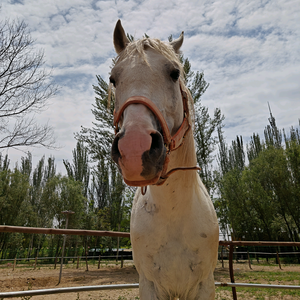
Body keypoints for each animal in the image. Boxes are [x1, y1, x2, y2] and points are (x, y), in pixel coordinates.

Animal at [110, 19, 218, 298]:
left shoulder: (204, 284)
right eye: (113, 78)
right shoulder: (150, 284)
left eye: (174, 73)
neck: (173, 215)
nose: (135, 148)